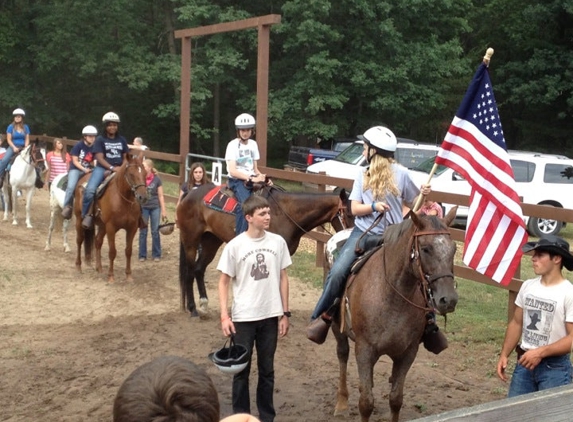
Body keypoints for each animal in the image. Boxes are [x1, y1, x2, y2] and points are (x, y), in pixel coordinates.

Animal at [73, 153, 149, 282]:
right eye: (131, 174)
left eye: (145, 173)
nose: (142, 197)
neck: (123, 200)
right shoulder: (111, 227)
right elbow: (112, 252)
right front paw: (111, 277)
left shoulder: (132, 228)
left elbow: (128, 251)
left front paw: (129, 275)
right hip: (80, 219)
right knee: (79, 240)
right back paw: (78, 266)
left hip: (102, 225)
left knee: (98, 242)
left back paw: (99, 268)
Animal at [177, 185, 350, 316]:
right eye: (348, 213)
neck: (287, 213)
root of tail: (189, 194)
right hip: (191, 241)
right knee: (190, 272)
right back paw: (193, 309)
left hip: (211, 241)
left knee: (199, 269)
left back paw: (203, 303)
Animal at [330, 209, 456, 422]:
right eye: (425, 249)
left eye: (454, 249)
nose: (449, 299)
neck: (392, 295)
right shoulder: (364, 350)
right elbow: (366, 403)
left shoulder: (408, 353)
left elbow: (396, 399)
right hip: (337, 329)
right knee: (342, 354)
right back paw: (341, 402)